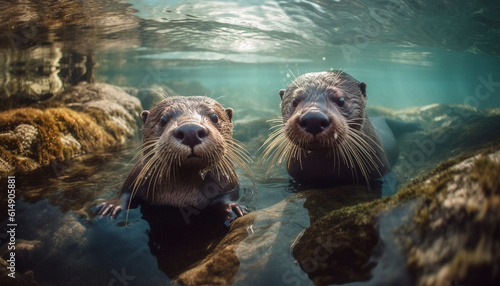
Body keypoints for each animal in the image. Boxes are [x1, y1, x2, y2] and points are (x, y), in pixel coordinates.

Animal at [95, 96, 252, 223]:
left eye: (214, 116)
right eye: (163, 119)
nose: (190, 130)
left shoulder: (229, 182)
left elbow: (228, 196)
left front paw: (233, 208)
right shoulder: (137, 174)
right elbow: (126, 191)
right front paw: (110, 206)